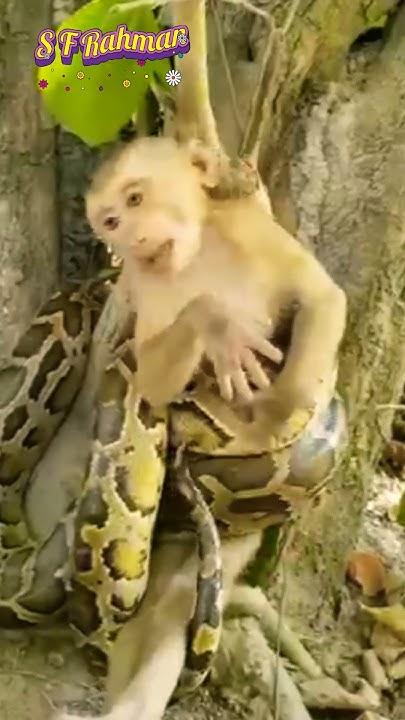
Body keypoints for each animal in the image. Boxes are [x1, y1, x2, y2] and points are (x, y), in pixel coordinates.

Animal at [86, 135, 346, 431]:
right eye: (111, 223)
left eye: (134, 199)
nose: (134, 241)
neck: (195, 254)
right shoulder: (145, 281)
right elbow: (150, 383)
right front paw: (214, 320)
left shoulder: (247, 224)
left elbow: (321, 296)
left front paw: (280, 404)